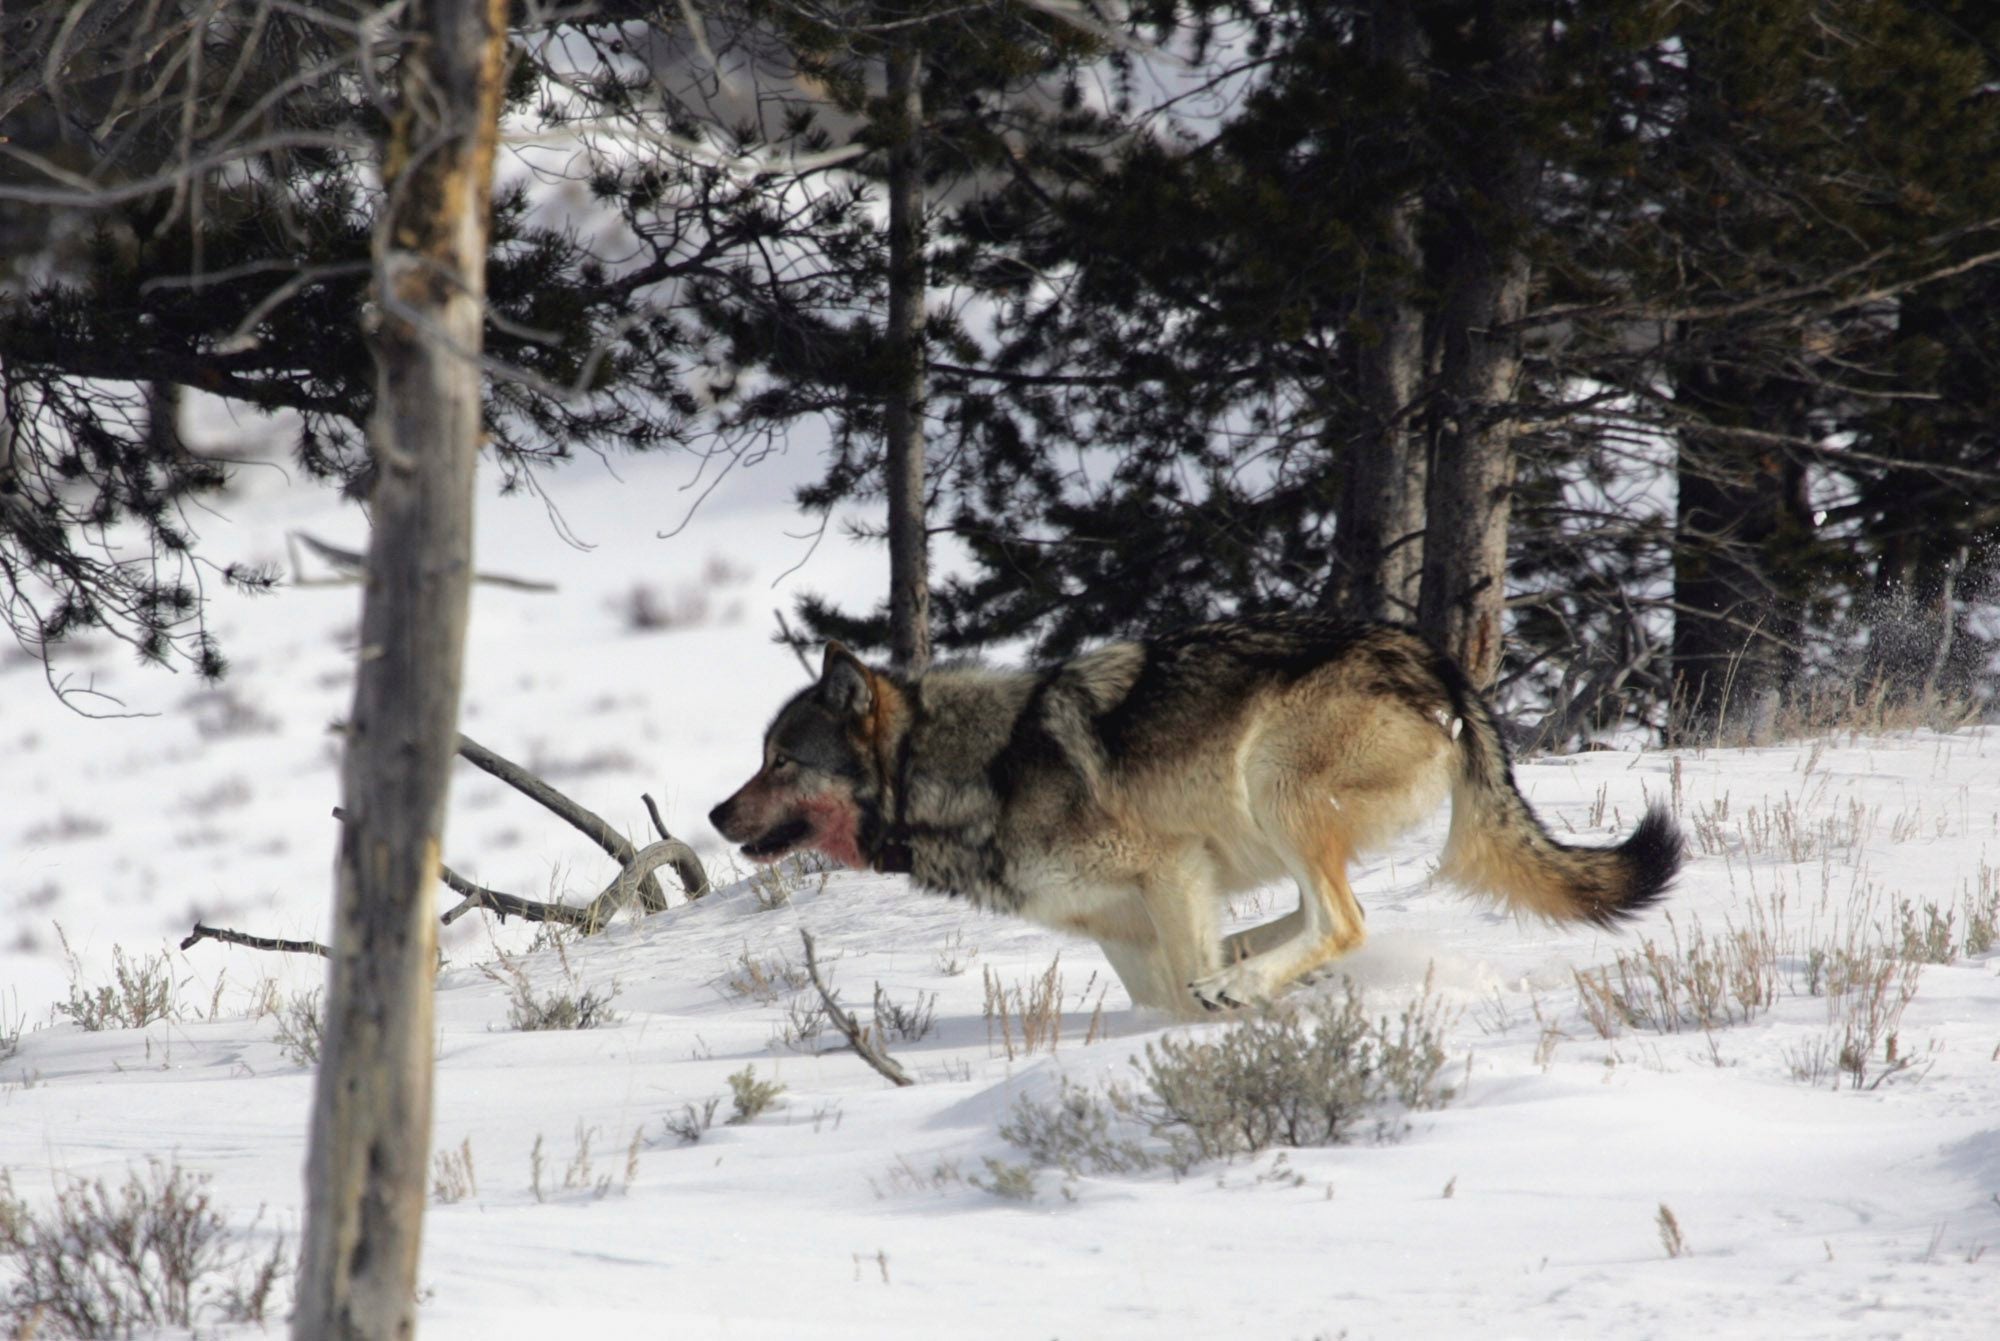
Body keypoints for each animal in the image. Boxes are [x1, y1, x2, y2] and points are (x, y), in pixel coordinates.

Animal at [712, 616, 1680, 1020]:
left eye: (781, 760)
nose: (717, 813)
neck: (962, 770)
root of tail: (1437, 662)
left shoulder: (1170, 867)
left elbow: (1180, 986)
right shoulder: (1122, 923)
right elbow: (1159, 993)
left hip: (1272, 783)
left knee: (1345, 918)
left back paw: (1244, 981)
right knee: (1320, 914)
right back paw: (1250, 967)